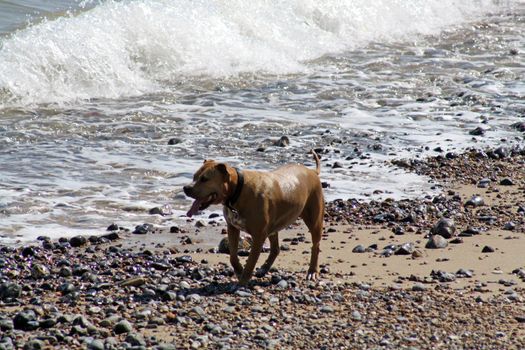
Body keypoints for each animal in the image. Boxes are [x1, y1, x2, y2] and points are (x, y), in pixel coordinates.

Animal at [184, 150, 324, 284]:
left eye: (204, 179)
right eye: (194, 176)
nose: (186, 188)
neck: (237, 191)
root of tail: (312, 171)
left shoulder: (258, 235)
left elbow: (251, 260)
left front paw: (243, 280)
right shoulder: (232, 228)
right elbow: (233, 256)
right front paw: (239, 270)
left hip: (315, 220)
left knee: (315, 246)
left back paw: (312, 271)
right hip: (273, 225)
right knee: (275, 249)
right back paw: (264, 268)